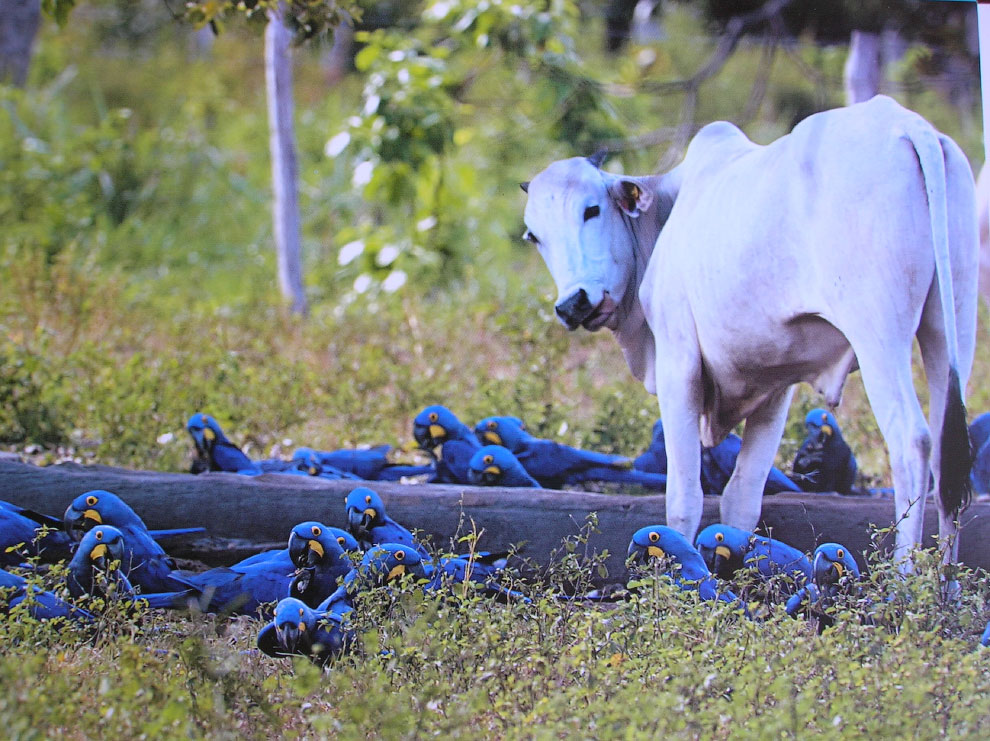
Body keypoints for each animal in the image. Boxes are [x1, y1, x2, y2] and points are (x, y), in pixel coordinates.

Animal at [524, 95, 980, 564]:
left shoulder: (678, 363)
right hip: (952, 322)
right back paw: (943, 580)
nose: (573, 303)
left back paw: (906, 577)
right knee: (949, 458)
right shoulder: (776, 383)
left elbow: (684, 498)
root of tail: (905, 125)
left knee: (912, 441)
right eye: (533, 236)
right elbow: (741, 497)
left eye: (592, 210)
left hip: (878, 332)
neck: (667, 213)